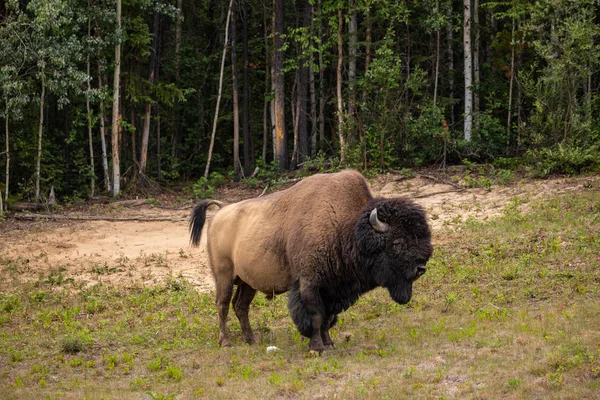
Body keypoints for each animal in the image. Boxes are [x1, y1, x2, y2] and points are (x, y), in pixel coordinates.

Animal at [191, 170, 432, 352]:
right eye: (397, 242)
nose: (420, 268)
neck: (347, 227)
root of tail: (221, 211)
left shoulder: (334, 289)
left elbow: (328, 318)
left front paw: (329, 343)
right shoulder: (310, 283)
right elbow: (315, 315)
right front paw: (316, 348)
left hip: (248, 282)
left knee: (241, 306)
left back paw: (252, 340)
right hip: (223, 275)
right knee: (222, 304)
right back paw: (226, 342)